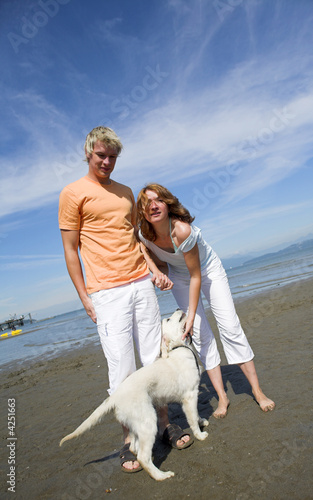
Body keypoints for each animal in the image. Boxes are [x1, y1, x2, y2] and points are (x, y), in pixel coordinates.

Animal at [59, 308, 208, 480]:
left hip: (136, 423)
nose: (178, 309)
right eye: (169, 319)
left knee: (134, 448)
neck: (179, 348)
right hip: (148, 421)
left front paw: (202, 421)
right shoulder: (189, 396)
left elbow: (196, 414)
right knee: (143, 457)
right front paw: (200, 434)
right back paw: (161, 475)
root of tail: (115, 396)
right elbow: (192, 418)